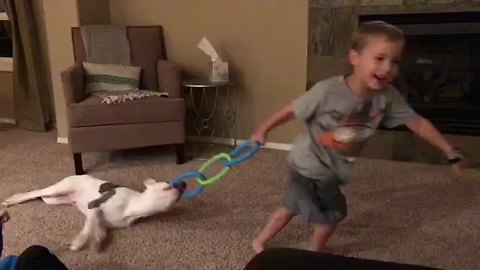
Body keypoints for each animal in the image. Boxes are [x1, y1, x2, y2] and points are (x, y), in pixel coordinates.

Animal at [1, 175, 186, 251]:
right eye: (168, 185)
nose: (184, 183)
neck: (134, 206)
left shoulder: (105, 224)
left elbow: (100, 232)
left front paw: (97, 243)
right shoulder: (94, 207)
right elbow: (89, 226)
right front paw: (79, 242)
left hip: (55, 199)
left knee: (41, 196)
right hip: (59, 189)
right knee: (34, 192)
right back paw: (11, 201)